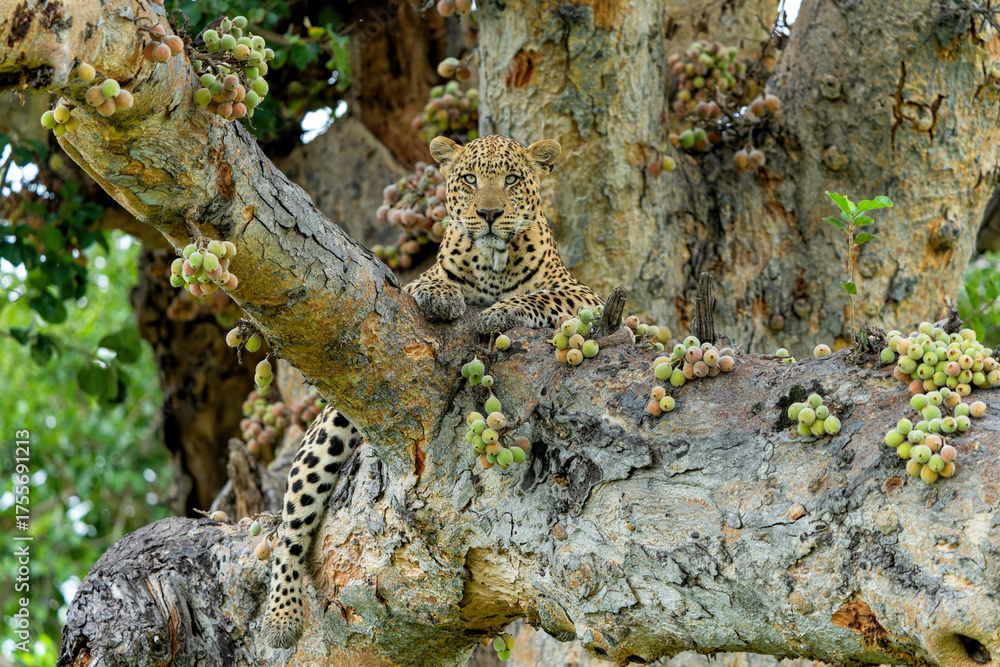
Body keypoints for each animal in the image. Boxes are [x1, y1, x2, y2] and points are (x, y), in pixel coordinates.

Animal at [262, 135, 604, 648]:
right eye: (469, 179)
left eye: (512, 180)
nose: (488, 213)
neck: (494, 266)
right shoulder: (416, 280)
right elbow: (427, 280)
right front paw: (441, 295)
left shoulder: (585, 295)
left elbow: (542, 296)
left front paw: (500, 312)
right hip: (328, 428)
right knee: (290, 529)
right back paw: (280, 618)